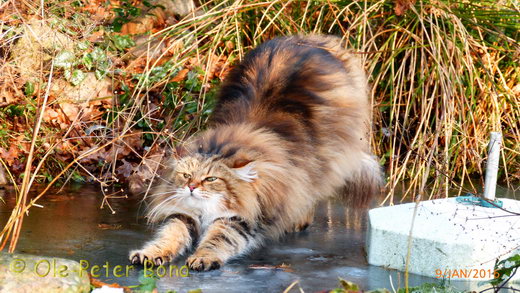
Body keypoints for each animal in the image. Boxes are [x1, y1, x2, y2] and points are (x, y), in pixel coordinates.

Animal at [129, 35, 382, 270]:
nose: (191, 187)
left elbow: (218, 239)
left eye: (211, 179)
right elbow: (170, 235)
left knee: (311, 189)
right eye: (186, 176)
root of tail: (314, 39)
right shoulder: (185, 215)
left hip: (327, 156)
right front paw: (151, 254)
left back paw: (298, 219)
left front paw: (203, 257)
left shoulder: (241, 219)